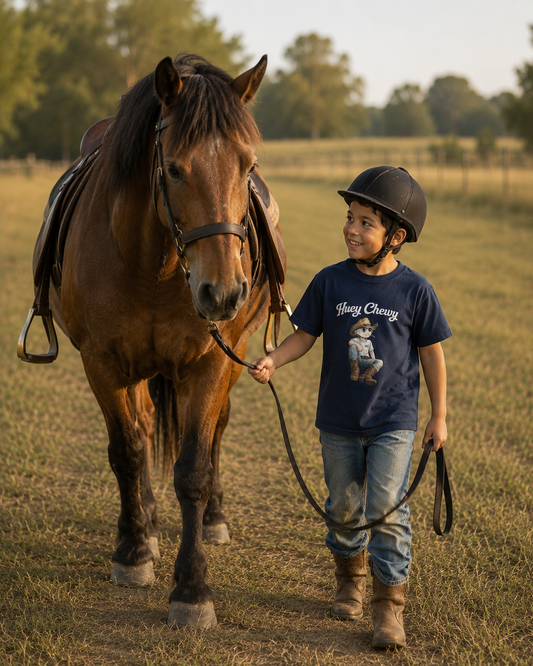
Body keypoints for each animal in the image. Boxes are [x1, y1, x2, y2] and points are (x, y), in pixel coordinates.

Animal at [28, 53, 285, 629]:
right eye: (174, 169)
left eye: (247, 166)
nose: (224, 291)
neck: (155, 264)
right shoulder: (101, 362)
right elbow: (127, 449)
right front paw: (132, 551)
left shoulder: (210, 363)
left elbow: (193, 468)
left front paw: (192, 589)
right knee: (143, 429)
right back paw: (143, 523)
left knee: (215, 432)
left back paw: (212, 517)